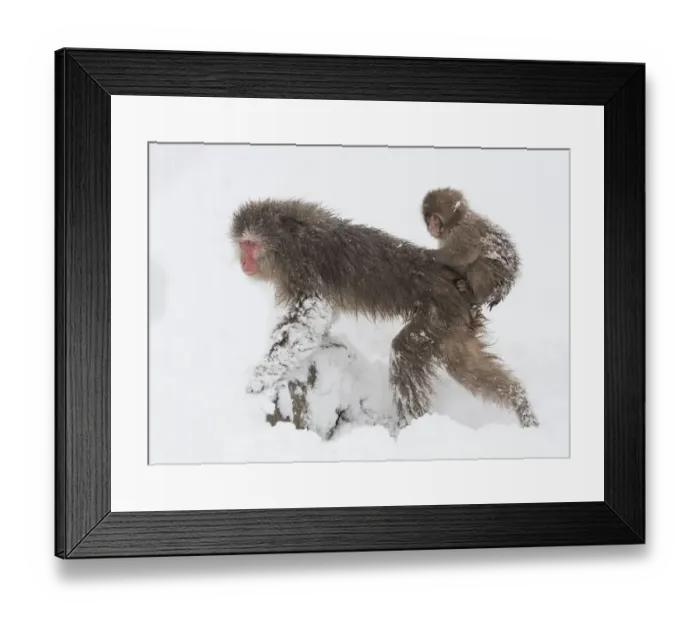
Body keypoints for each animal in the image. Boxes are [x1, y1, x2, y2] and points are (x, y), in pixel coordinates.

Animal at [231, 198, 539, 430]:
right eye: (241, 245)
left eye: (250, 244)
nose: (242, 262)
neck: (289, 241)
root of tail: (462, 286)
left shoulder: (303, 269)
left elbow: (306, 320)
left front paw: (259, 378)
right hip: (453, 324)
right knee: (467, 367)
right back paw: (521, 404)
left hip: (437, 316)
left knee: (406, 354)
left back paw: (409, 426)